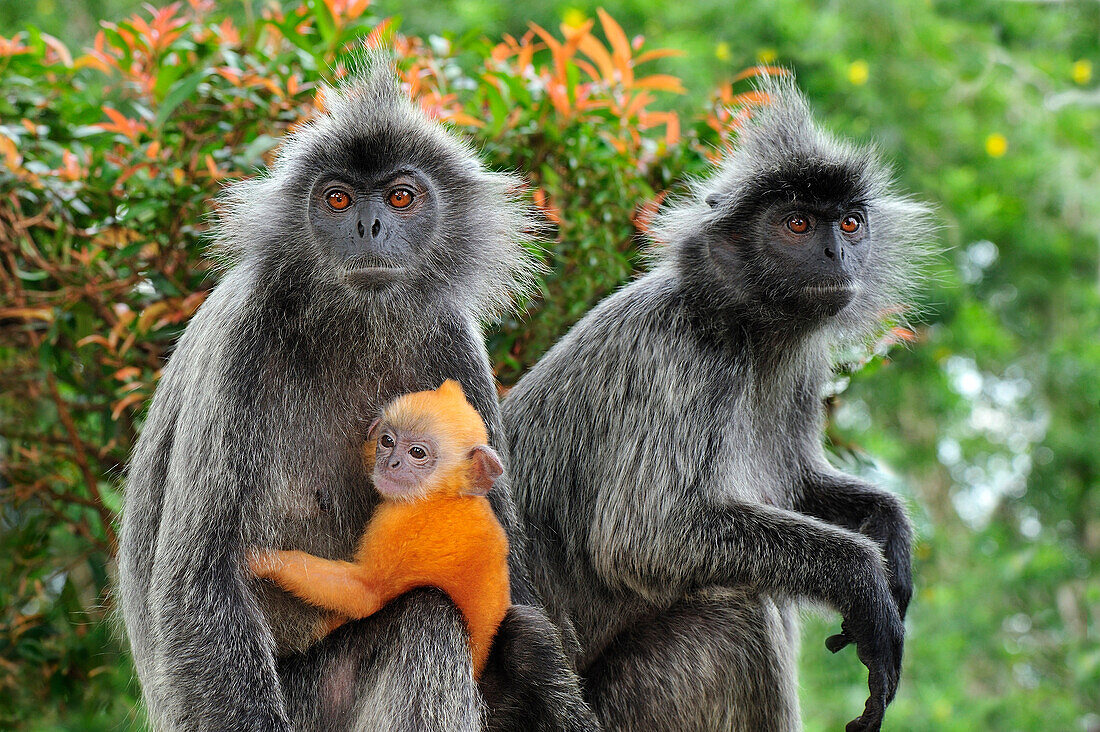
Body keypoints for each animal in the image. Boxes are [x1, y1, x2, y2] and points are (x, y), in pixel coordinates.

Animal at [247, 378, 508, 678]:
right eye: (387, 441)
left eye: (417, 452)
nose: (390, 463)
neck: (442, 496)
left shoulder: (401, 523)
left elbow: (365, 594)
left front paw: (262, 561)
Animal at [503, 74, 932, 730]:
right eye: (797, 224)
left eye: (850, 224)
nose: (836, 255)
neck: (744, 327)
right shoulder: (680, 356)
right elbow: (648, 535)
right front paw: (863, 578)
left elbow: (796, 484)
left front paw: (889, 529)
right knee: (737, 614)